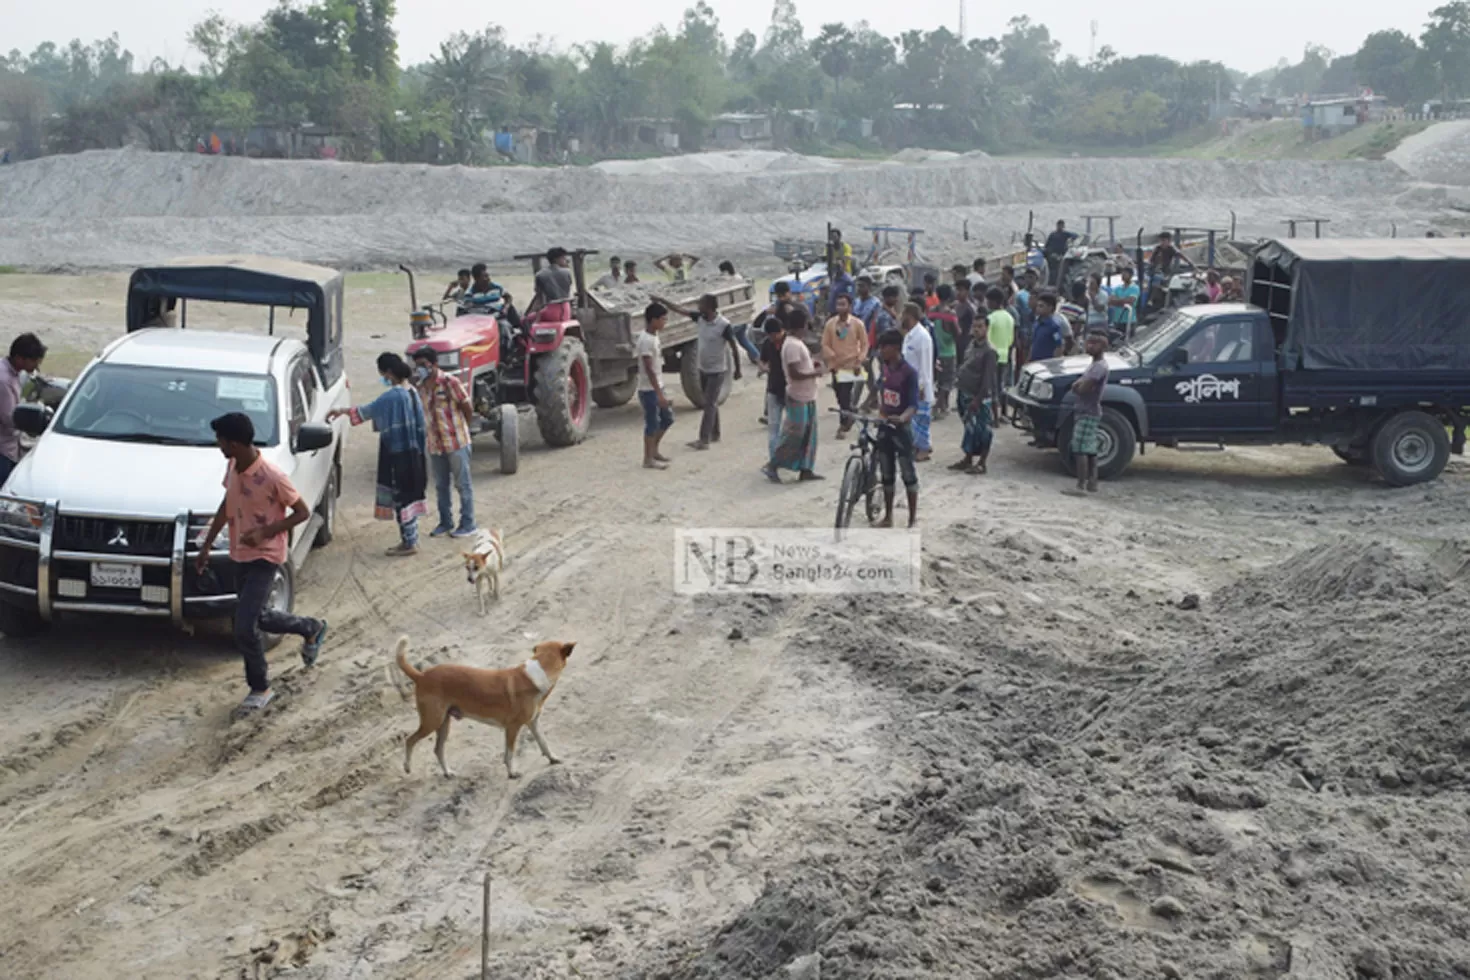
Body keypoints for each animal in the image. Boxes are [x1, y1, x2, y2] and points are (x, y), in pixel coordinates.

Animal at [396, 637, 573, 781]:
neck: (537, 673)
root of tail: (421, 675)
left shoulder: (533, 723)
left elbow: (543, 743)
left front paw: (553, 759)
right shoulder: (513, 727)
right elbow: (510, 754)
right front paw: (512, 773)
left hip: (443, 724)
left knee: (438, 749)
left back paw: (447, 772)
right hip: (432, 722)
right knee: (410, 740)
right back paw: (407, 767)